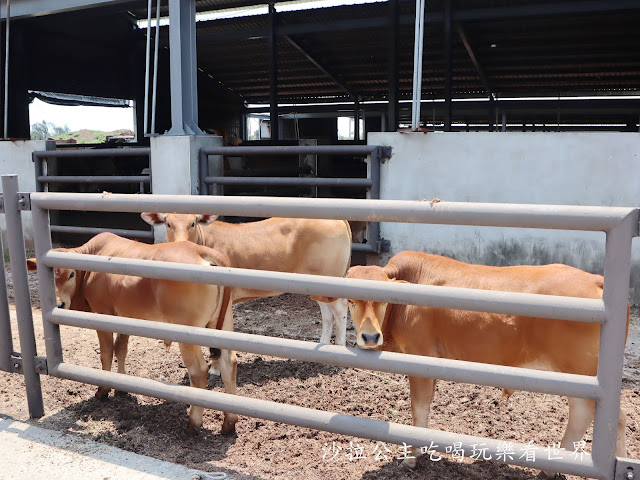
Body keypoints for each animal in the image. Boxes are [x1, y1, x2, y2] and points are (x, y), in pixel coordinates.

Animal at [26, 232, 239, 436]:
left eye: (71, 273)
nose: (60, 304)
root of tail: (199, 250)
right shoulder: (125, 318)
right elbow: (121, 349)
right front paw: (121, 387)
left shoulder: (102, 314)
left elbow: (106, 353)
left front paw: (103, 390)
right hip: (224, 324)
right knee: (229, 362)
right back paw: (229, 423)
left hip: (187, 334)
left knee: (198, 371)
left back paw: (193, 424)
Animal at [348, 253, 628, 474]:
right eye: (350, 300)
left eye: (382, 299)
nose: (370, 337)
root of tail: (593, 278)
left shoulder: (419, 357)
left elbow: (419, 409)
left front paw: (412, 457)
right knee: (586, 416)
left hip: (586, 376)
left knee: (610, 419)